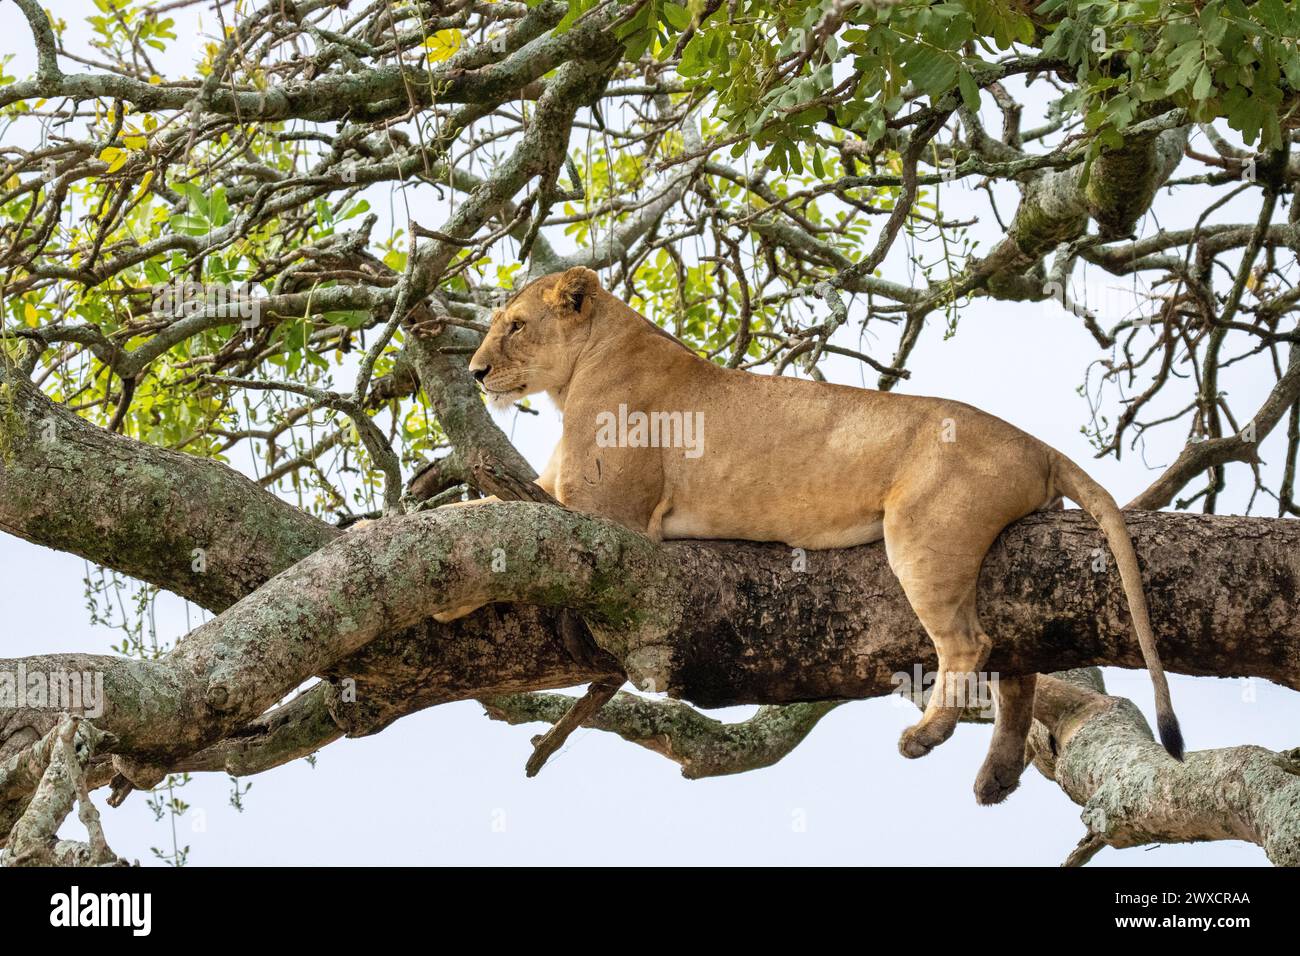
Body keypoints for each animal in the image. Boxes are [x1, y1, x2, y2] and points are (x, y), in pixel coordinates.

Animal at [459, 265, 1182, 804]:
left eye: (515, 327)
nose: (474, 372)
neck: (585, 363)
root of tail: (1035, 443)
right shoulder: (558, 492)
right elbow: (478, 506)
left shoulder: (609, 514)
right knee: (1019, 664)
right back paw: (996, 775)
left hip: (923, 532)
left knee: (970, 645)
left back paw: (927, 735)